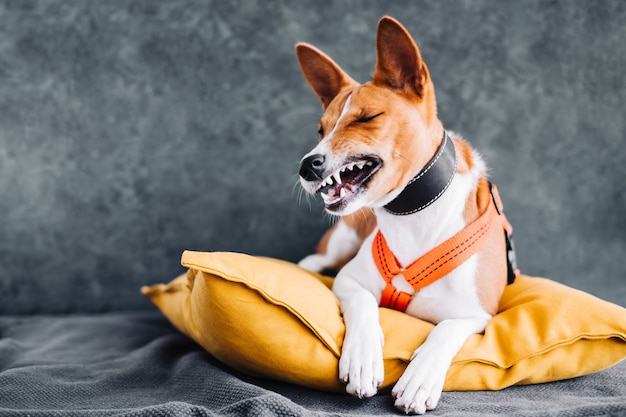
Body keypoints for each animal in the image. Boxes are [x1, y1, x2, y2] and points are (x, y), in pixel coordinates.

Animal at [294, 16, 516, 412]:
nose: (307, 165)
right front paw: (363, 359)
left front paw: (420, 378)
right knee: (316, 261)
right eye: (321, 130)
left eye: (366, 118)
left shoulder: (477, 314)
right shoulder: (349, 281)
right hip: (341, 242)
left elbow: (445, 329)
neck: (413, 214)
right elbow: (365, 303)